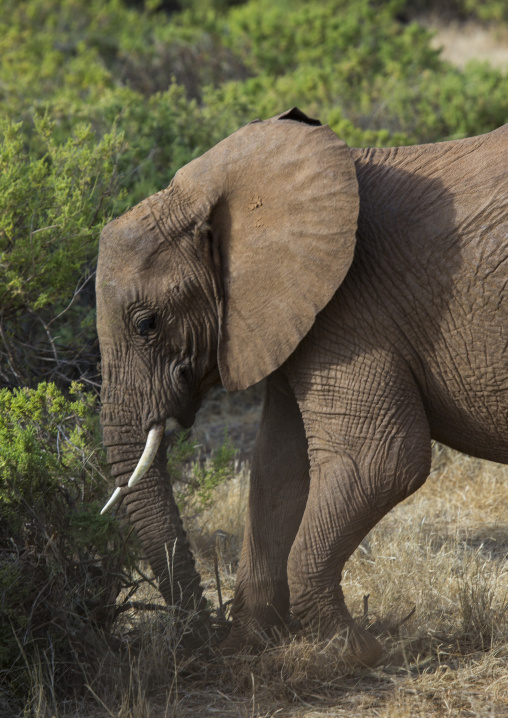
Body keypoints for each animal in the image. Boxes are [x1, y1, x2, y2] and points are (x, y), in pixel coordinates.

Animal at [96, 107, 508, 667]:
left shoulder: (349, 306)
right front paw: (251, 644)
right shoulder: (293, 315)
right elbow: (277, 465)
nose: (200, 640)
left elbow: (381, 460)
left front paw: (352, 651)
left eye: (146, 324)